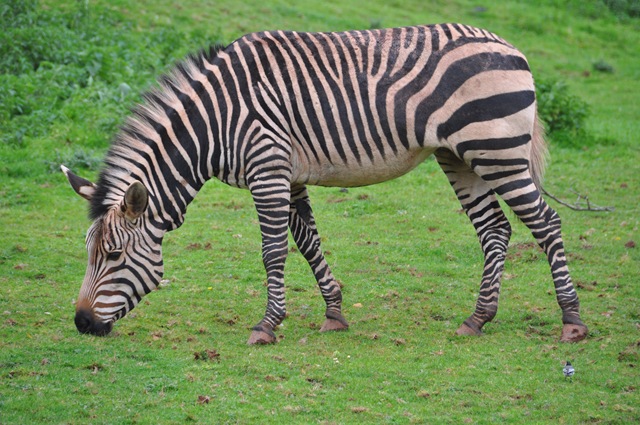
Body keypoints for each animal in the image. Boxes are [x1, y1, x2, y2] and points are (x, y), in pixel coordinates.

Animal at [62, 23, 588, 344]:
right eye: (88, 253)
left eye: (114, 256)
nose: (82, 323)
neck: (215, 122)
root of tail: (509, 46)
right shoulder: (288, 174)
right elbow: (308, 241)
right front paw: (334, 313)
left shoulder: (267, 168)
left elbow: (274, 250)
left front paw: (267, 326)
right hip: (459, 156)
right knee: (495, 230)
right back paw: (477, 319)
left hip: (497, 151)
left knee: (547, 223)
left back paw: (572, 321)